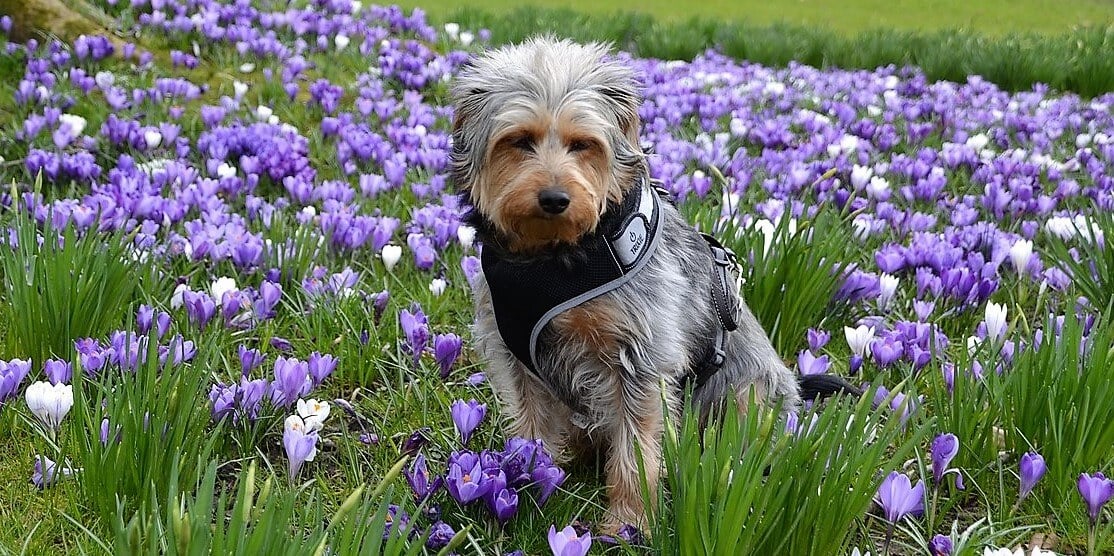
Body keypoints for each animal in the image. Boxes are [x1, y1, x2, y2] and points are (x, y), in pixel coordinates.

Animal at [447, 37, 846, 532]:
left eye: (583, 144)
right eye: (519, 141)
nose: (555, 198)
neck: (555, 258)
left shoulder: (639, 358)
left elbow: (636, 450)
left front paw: (629, 522)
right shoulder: (518, 359)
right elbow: (532, 431)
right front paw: (524, 480)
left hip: (747, 394)